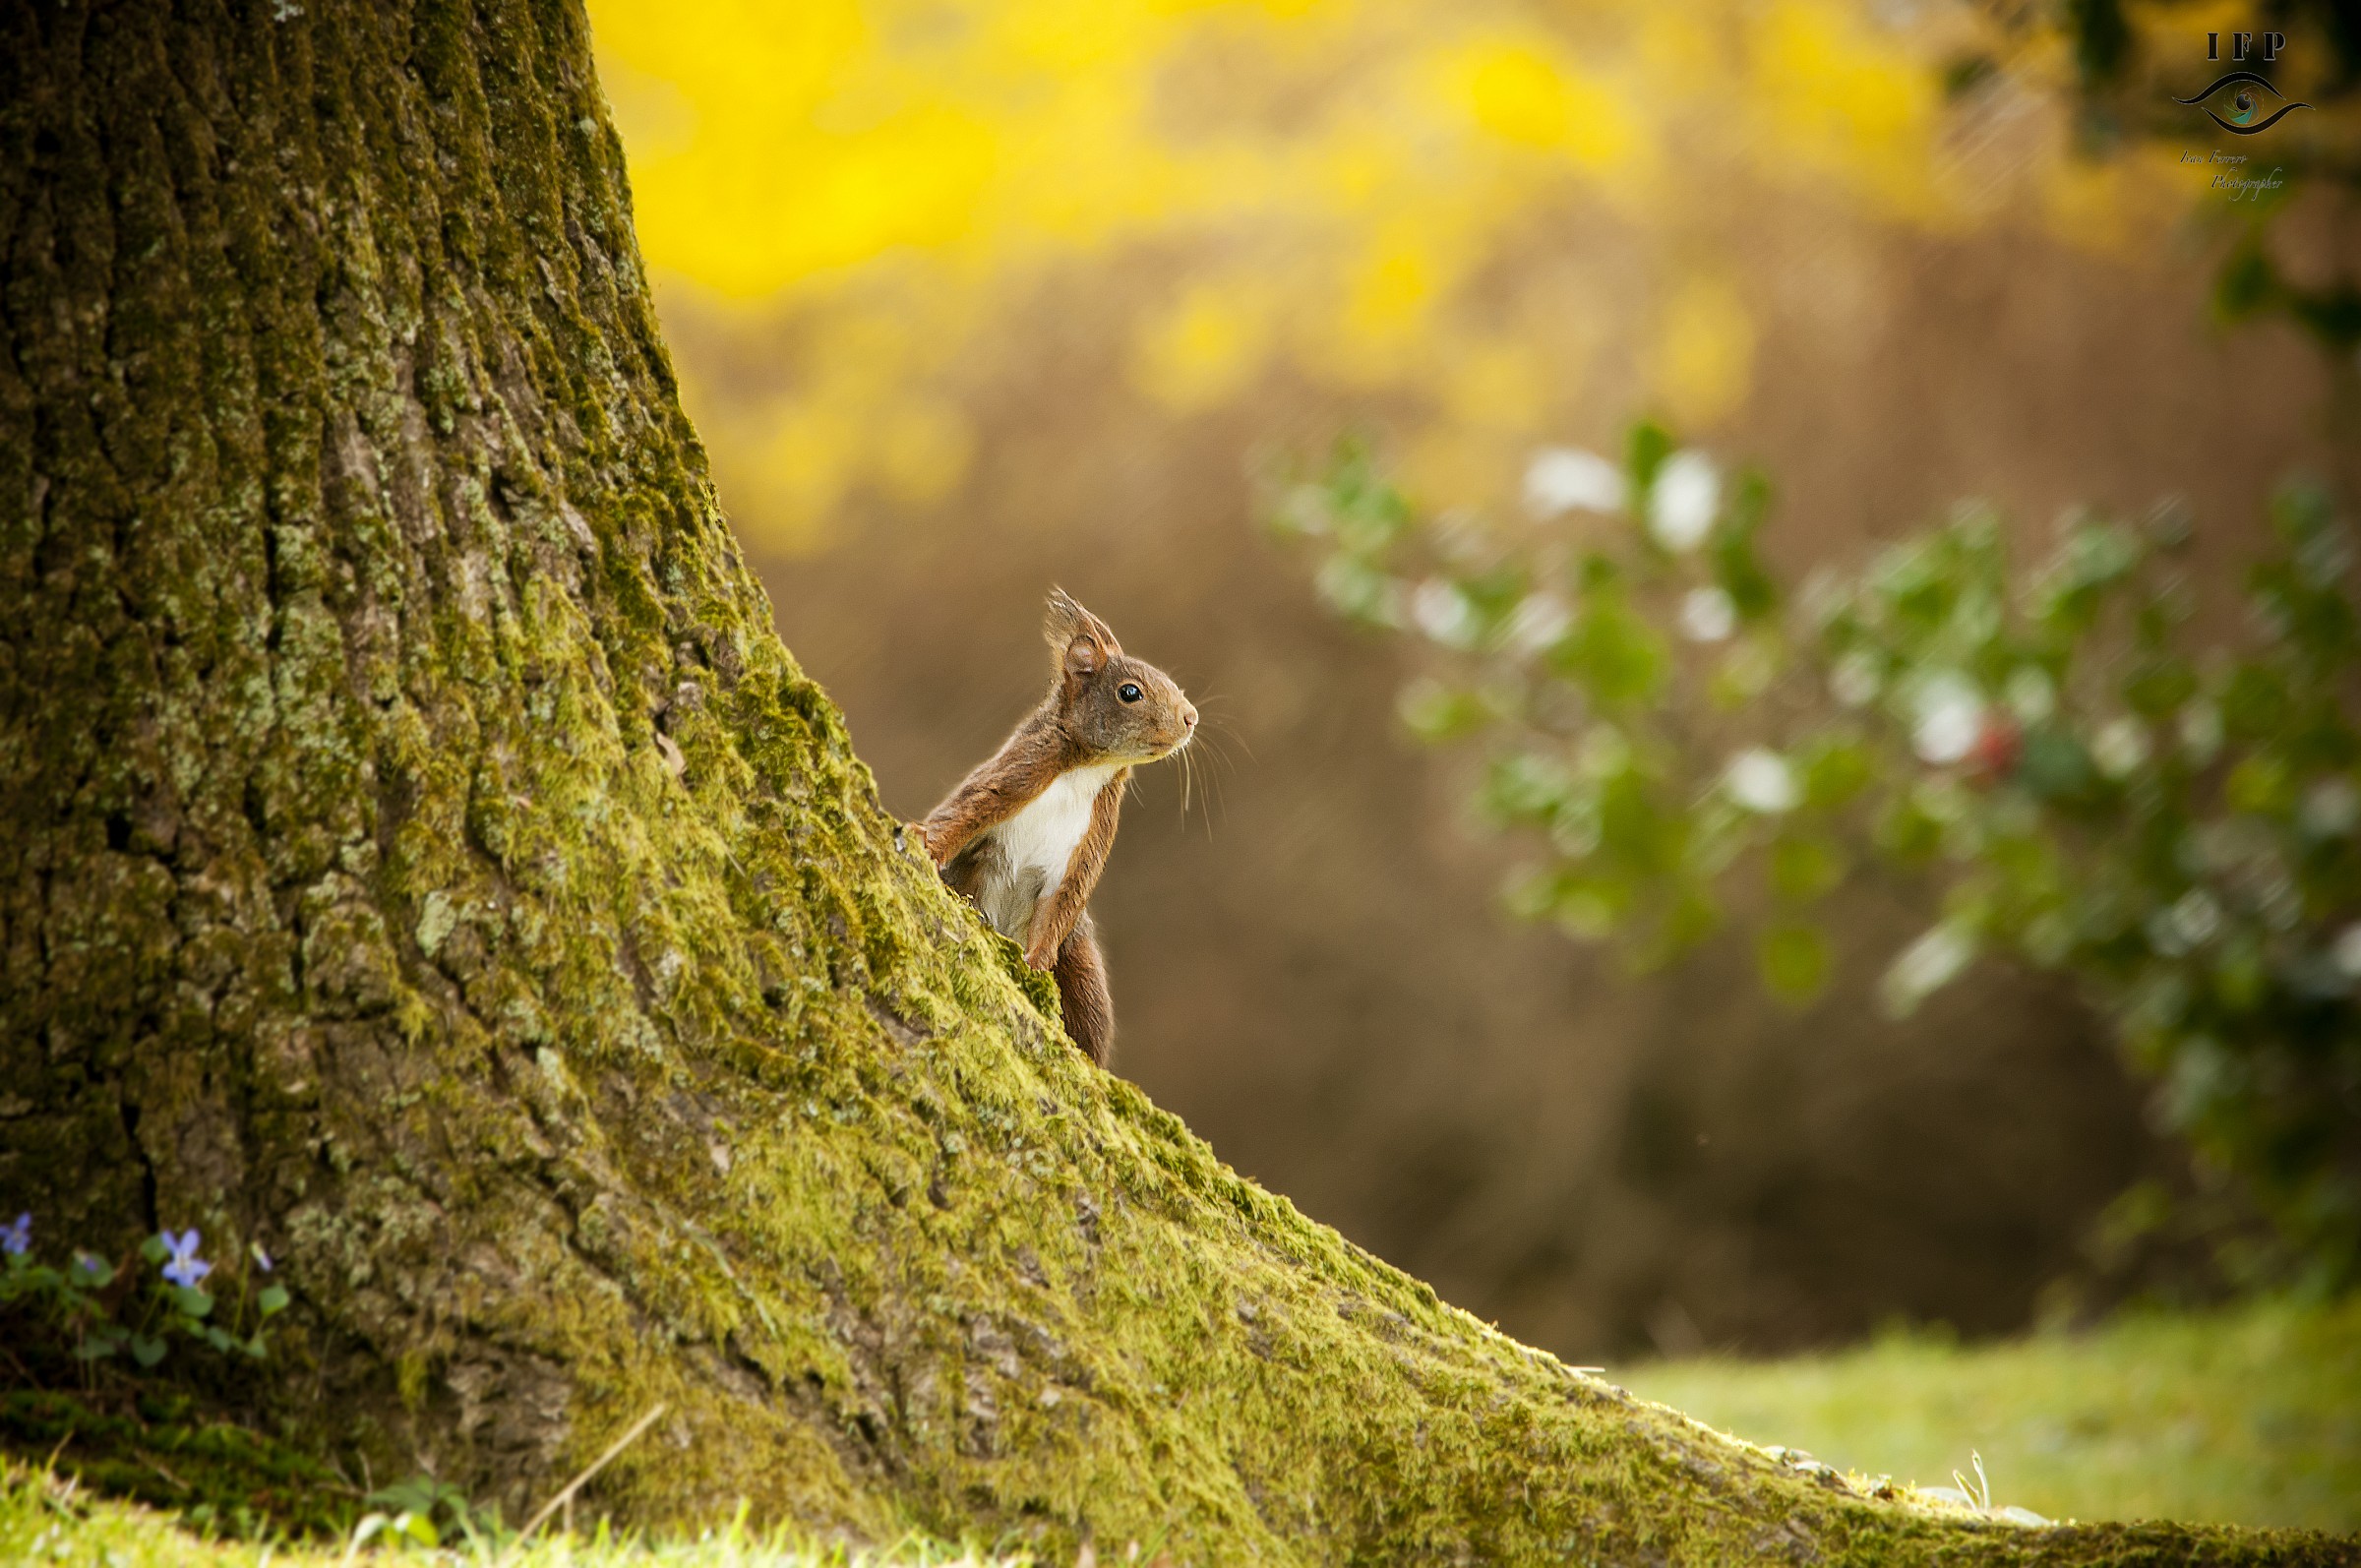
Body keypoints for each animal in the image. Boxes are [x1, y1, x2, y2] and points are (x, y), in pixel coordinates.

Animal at [915, 589, 1197, 1067]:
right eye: (1130, 692)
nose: (1191, 717)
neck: (1085, 769)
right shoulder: (1016, 773)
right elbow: (963, 813)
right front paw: (924, 842)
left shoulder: (1089, 840)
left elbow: (1062, 901)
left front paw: (1036, 963)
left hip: (1082, 966)